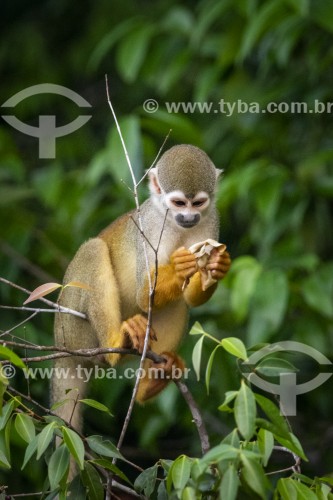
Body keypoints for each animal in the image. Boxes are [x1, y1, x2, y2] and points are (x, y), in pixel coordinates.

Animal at [52, 144, 230, 430]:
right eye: (179, 203)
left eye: (198, 203)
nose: (189, 217)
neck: (171, 221)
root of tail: (60, 346)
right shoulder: (149, 224)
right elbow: (144, 292)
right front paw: (179, 266)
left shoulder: (212, 219)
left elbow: (190, 297)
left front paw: (217, 266)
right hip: (74, 332)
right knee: (93, 250)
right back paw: (118, 340)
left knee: (177, 302)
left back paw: (152, 381)